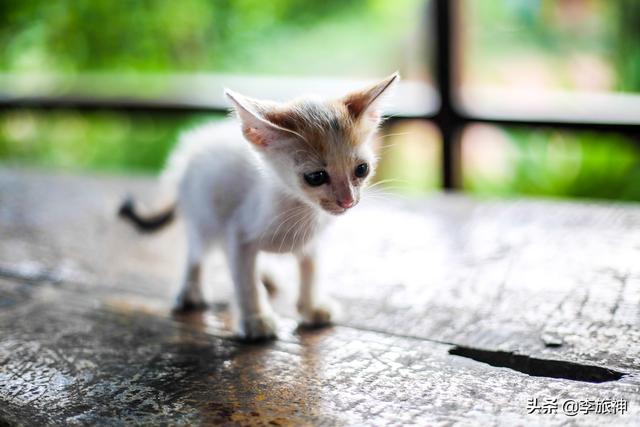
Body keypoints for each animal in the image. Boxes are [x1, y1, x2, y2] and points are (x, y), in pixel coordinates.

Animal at [119, 72, 398, 342]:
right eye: (316, 177)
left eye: (362, 169)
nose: (347, 200)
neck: (301, 210)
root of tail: (188, 152)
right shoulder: (238, 233)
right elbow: (245, 281)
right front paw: (256, 320)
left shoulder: (312, 242)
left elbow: (310, 269)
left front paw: (311, 307)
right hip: (203, 217)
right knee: (197, 253)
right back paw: (190, 290)